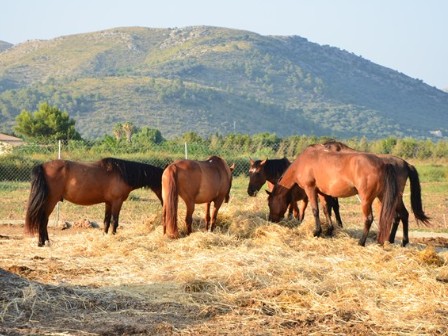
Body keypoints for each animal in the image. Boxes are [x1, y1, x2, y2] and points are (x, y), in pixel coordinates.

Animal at [24, 158, 163, 247]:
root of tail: (42, 166)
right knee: (43, 220)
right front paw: (113, 236)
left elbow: (106, 221)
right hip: (51, 201)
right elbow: (115, 221)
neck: (122, 173)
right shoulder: (117, 202)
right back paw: (43, 242)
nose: (164, 202)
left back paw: (45, 241)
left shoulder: (108, 203)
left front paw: (105, 236)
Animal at [266, 143, 400, 245]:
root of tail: (383, 164)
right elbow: (326, 210)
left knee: (369, 219)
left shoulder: (311, 189)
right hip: (381, 198)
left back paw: (361, 242)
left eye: (269, 203)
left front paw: (317, 232)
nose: (271, 220)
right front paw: (329, 231)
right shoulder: (322, 193)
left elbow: (315, 211)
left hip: (366, 200)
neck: (303, 161)